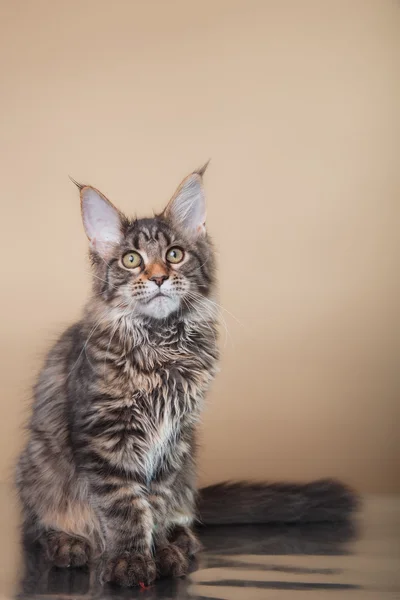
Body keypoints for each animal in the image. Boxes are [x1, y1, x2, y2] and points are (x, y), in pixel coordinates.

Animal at [14, 166, 356, 588]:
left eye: (174, 254)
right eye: (131, 259)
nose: (160, 277)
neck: (163, 348)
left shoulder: (172, 440)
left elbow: (154, 505)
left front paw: (159, 552)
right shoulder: (107, 438)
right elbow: (125, 506)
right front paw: (129, 561)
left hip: (187, 464)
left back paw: (182, 542)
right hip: (37, 465)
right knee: (36, 529)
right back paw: (68, 544)